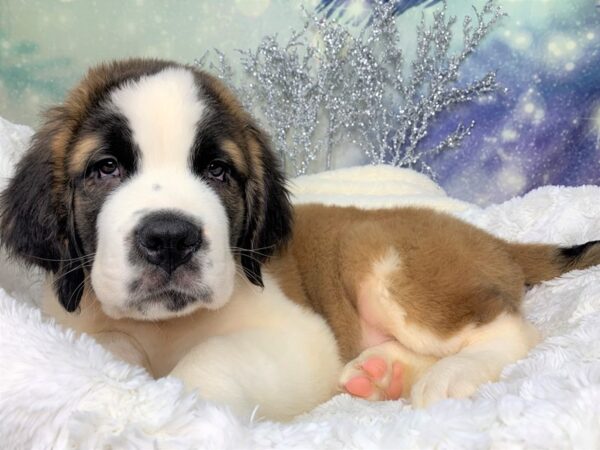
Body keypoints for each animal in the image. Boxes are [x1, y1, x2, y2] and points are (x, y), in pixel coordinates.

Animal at [2, 58, 596, 420]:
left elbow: (210, 362)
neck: (168, 328)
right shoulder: (80, 326)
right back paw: (381, 375)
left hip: (375, 255)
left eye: (218, 172)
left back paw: (450, 376)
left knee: (513, 330)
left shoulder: (300, 338)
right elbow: (112, 348)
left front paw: (190, 407)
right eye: (105, 169)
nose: (170, 238)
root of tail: (490, 238)